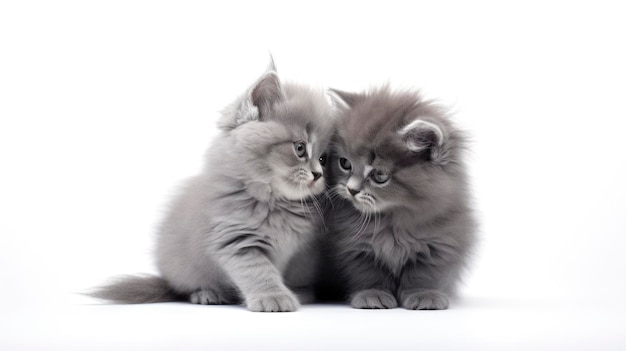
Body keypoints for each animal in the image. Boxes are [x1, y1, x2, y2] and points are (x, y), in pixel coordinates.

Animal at [90, 64, 334, 312]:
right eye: (300, 148)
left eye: (323, 159)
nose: (317, 175)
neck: (274, 204)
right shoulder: (236, 240)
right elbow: (258, 272)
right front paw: (273, 297)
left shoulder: (304, 252)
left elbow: (296, 275)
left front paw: (300, 293)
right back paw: (207, 294)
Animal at [320, 87, 476, 310]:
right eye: (345, 163)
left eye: (379, 175)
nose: (351, 190)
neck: (392, 221)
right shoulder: (356, 248)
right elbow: (368, 275)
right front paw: (373, 296)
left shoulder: (440, 244)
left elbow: (423, 276)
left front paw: (424, 296)